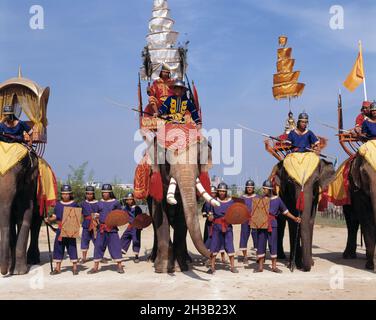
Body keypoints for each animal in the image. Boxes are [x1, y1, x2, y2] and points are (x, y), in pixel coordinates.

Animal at [145, 129, 217, 272]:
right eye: (166, 159)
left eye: (198, 158)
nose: (213, 256)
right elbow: (159, 216)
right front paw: (163, 269)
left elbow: (182, 219)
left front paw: (180, 267)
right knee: (154, 222)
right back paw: (152, 258)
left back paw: (187, 260)